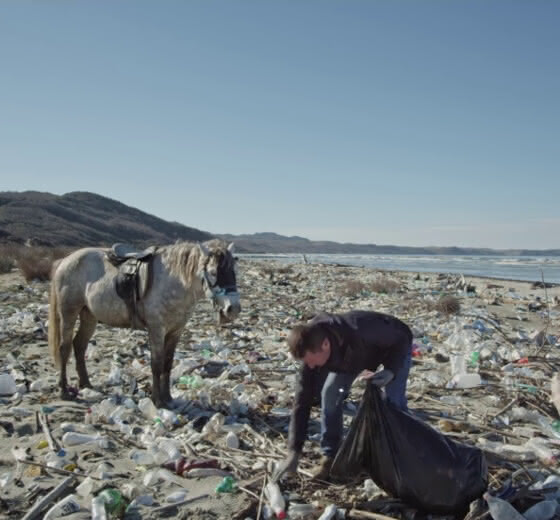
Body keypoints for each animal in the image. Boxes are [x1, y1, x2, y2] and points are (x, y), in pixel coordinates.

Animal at [48, 239, 241, 406]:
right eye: (214, 273)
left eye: (233, 272)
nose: (233, 309)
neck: (175, 281)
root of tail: (65, 260)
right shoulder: (156, 329)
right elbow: (156, 364)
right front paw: (157, 400)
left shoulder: (176, 331)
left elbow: (168, 363)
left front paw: (168, 397)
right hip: (69, 313)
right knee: (64, 348)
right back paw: (64, 390)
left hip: (89, 315)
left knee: (79, 345)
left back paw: (86, 383)